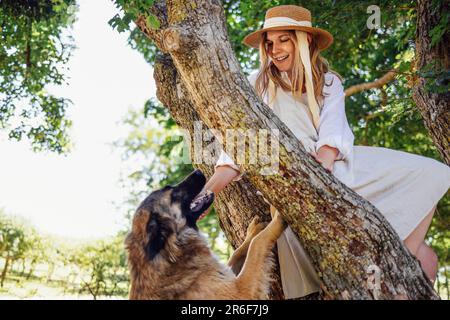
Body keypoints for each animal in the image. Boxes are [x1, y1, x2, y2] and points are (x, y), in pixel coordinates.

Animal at [125, 170, 286, 300]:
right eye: (171, 191)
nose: (197, 170)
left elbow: (237, 252)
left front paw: (251, 232)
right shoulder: (239, 291)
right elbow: (256, 244)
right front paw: (277, 216)